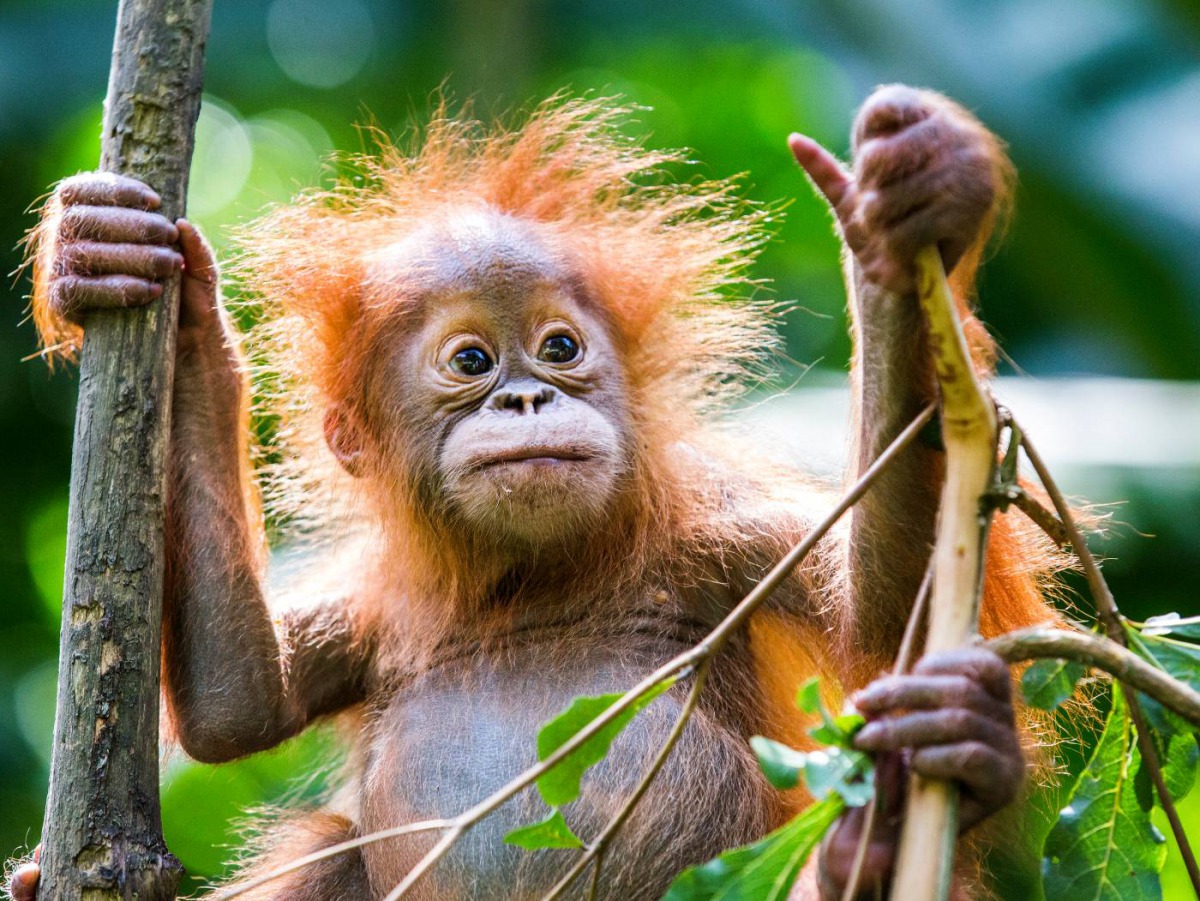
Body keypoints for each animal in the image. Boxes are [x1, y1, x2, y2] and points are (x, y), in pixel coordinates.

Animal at [9, 86, 1059, 900]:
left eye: (560, 346)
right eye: (472, 360)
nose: (526, 396)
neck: (538, 577)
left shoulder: (727, 529)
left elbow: (886, 609)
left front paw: (904, 216)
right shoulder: (382, 602)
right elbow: (239, 700)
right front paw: (137, 277)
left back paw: (902, 808)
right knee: (328, 851)